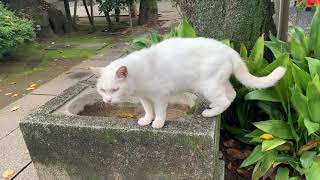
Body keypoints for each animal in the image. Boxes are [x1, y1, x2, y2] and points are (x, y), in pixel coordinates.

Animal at [91, 37, 286, 128]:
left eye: (115, 89)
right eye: (102, 90)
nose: (107, 100)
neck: (138, 75)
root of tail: (230, 50)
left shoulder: (160, 96)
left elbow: (159, 111)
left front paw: (158, 122)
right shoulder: (144, 98)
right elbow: (148, 109)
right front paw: (147, 119)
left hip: (208, 86)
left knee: (225, 99)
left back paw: (211, 113)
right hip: (219, 82)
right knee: (232, 94)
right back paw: (215, 107)